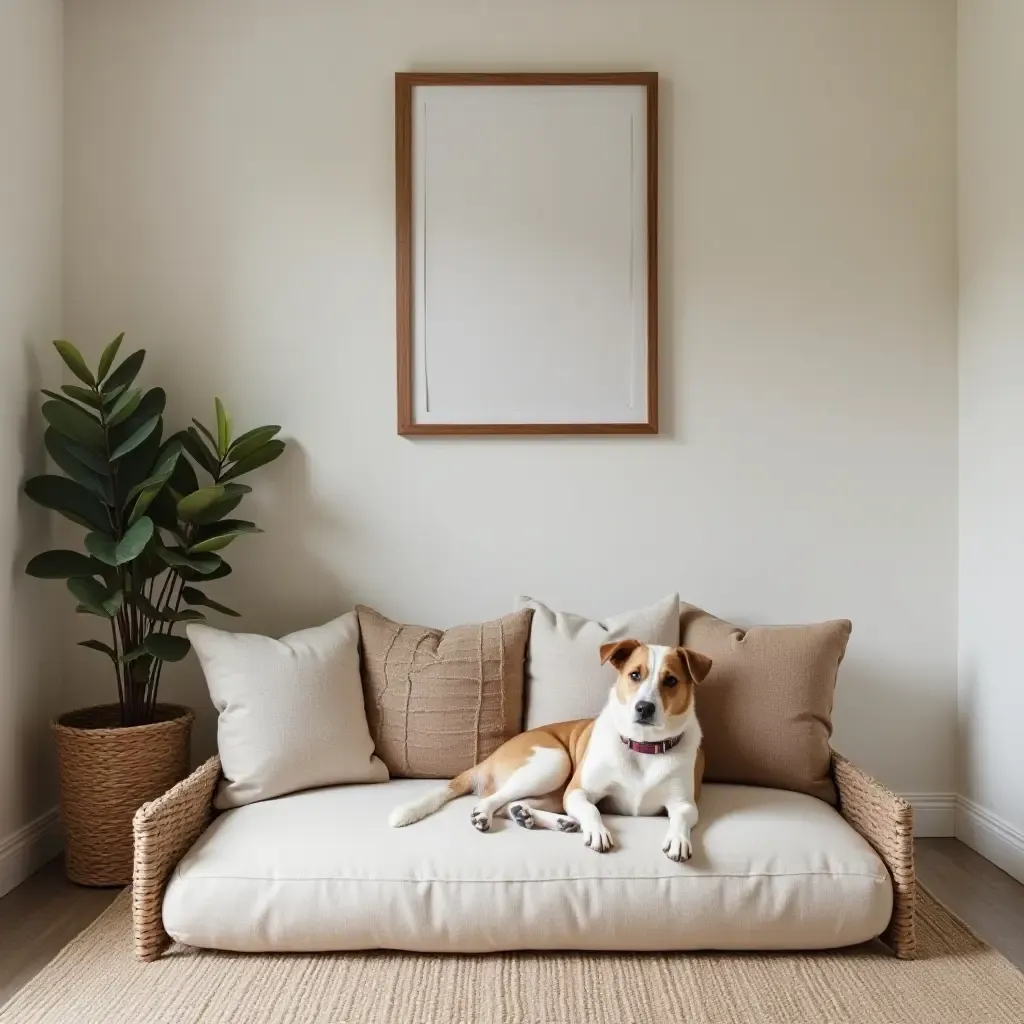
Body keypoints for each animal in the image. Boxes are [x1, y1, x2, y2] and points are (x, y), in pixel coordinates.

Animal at [385, 643, 712, 860]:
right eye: (635, 675)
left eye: (671, 680)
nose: (644, 708)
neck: (642, 745)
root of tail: (487, 759)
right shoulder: (578, 791)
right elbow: (592, 809)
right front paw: (598, 831)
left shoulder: (684, 803)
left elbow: (681, 817)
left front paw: (678, 839)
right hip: (555, 762)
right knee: (493, 800)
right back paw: (485, 815)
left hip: (553, 787)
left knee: (512, 806)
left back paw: (542, 818)